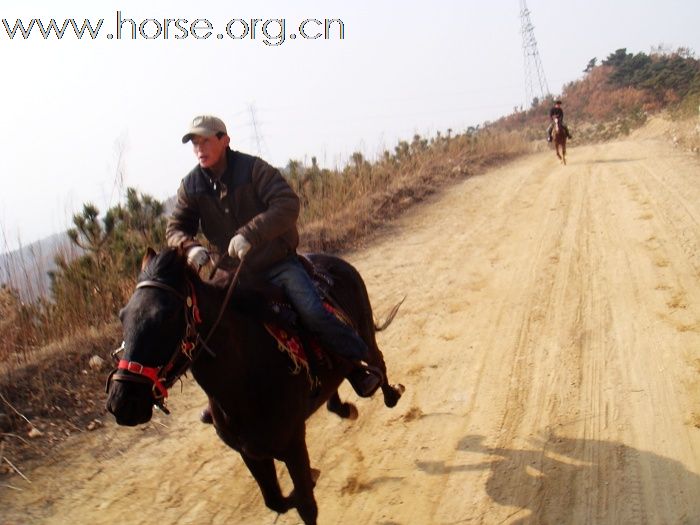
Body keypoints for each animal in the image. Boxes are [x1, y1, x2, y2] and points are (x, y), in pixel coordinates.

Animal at [106, 249, 408, 524]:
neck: (246, 381)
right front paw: (312, 477)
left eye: (167, 316)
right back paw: (346, 402)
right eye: (122, 316)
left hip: (365, 332)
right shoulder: (249, 453)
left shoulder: (293, 445)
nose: (122, 403)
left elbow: (306, 505)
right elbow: (275, 501)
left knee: (376, 359)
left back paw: (387, 392)